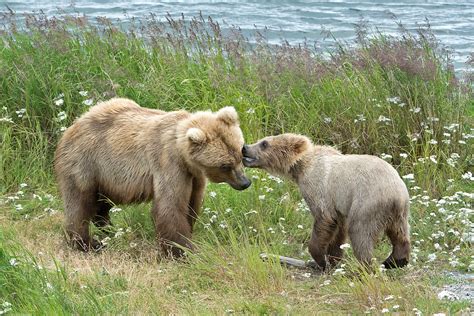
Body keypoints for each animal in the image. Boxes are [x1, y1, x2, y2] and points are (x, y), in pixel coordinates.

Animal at [54, 97, 252, 256]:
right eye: (225, 165)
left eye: (239, 154)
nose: (245, 182)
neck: (184, 156)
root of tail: (72, 126)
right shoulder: (168, 163)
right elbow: (170, 207)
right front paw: (183, 250)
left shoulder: (194, 176)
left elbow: (192, 203)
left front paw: (189, 234)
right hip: (86, 164)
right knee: (79, 203)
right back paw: (87, 243)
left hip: (108, 178)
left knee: (101, 204)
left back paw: (109, 230)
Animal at [243, 133, 410, 270]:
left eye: (264, 143)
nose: (244, 148)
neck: (301, 167)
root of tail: (396, 193)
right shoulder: (338, 205)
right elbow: (339, 229)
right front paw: (333, 257)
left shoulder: (318, 187)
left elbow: (324, 218)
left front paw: (320, 259)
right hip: (398, 212)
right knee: (399, 233)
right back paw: (395, 260)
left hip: (368, 203)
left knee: (360, 232)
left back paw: (366, 266)